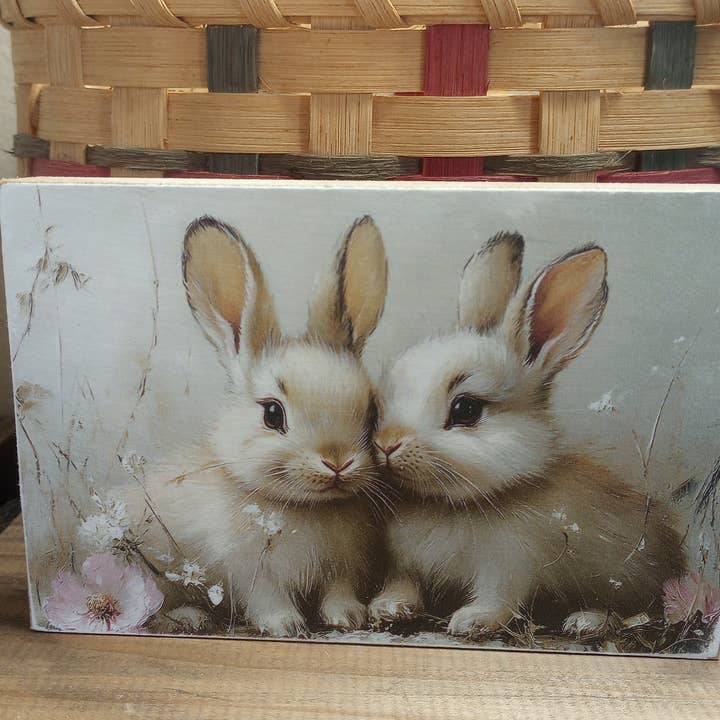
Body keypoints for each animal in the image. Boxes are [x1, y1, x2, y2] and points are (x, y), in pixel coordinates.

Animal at [139, 215, 389, 637]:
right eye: (273, 414)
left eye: (371, 411)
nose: (337, 462)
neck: (308, 508)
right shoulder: (247, 571)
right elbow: (267, 599)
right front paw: (287, 626)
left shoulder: (341, 567)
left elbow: (337, 591)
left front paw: (348, 616)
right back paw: (188, 617)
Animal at [369, 232, 686, 638]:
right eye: (387, 392)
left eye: (466, 409)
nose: (386, 444)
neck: (449, 504)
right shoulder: (405, 563)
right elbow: (403, 582)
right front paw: (388, 607)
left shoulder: (509, 563)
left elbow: (500, 597)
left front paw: (472, 621)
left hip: (626, 580)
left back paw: (585, 621)